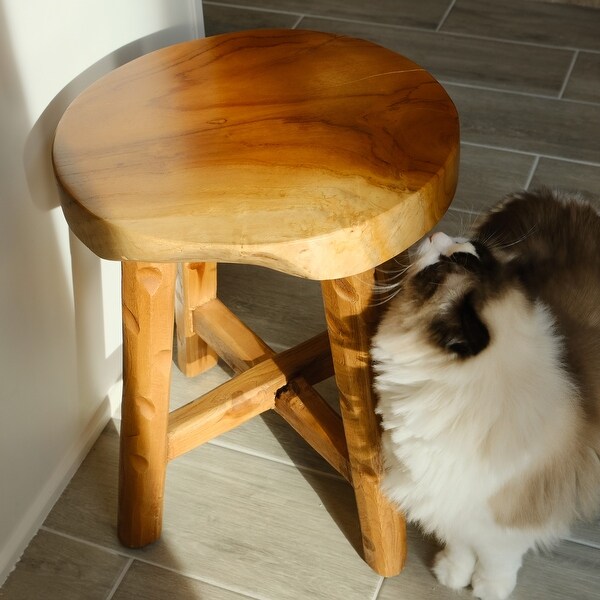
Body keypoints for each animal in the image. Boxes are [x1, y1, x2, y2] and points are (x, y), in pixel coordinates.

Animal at [372, 189, 596, 600]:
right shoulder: (448, 502)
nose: (435, 234)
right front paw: (452, 576)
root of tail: (561, 198)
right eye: (463, 252)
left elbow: (495, 562)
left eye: (449, 262)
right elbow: (459, 546)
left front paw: (487, 590)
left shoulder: (505, 523)